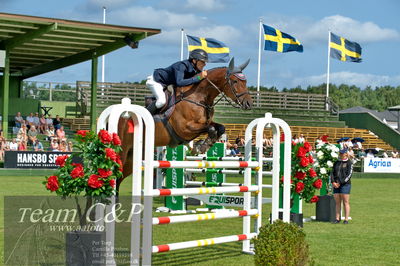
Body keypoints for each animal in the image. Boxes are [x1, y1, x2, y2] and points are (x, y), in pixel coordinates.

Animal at [116, 57, 253, 188]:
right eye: (235, 81)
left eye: (245, 82)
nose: (248, 103)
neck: (199, 97)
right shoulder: (185, 128)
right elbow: (210, 129)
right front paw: (200, 146)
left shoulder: (205, 123)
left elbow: (220, 128)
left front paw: (203, 145)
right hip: (122, 153)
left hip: (132, 158)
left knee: (119, 178)